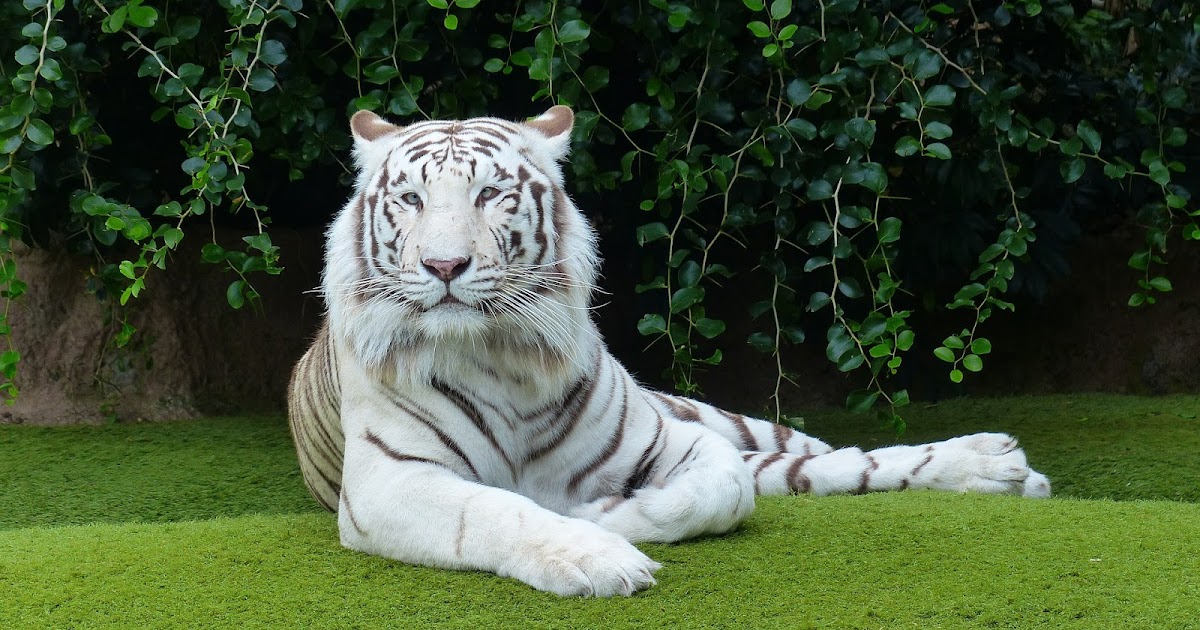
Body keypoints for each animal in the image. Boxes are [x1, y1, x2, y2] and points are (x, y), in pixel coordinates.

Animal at [285, 105, 1046, 597]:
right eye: (411, 200)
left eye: (492, 194)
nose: (444, 266)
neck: (502, 354)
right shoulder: (387, 481)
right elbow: (497, 510)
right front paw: (593, 554)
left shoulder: (674, 440)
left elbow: (723, 490)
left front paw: (602, 515)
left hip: (728, 421)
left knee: (829, 460)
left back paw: (997, 465)